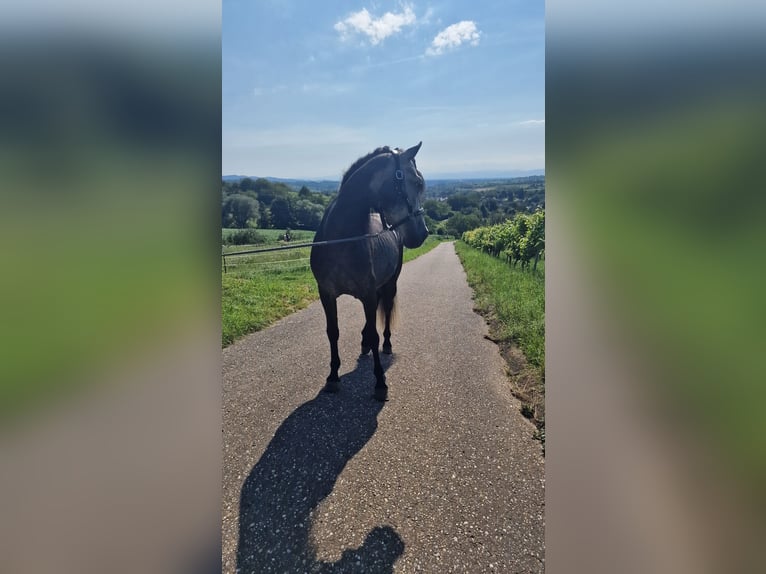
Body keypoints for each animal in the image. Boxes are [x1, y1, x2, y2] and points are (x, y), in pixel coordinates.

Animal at [312, 142, 432, 402]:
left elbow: (376, 331)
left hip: (389, 284)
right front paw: (333, 377)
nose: (422, 234)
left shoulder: (367, 292)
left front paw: (380, 382)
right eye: (418, 182)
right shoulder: (326, 293)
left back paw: (385, 345)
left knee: (384, 313)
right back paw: (365, 343)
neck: (341, 239)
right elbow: (333, 332)